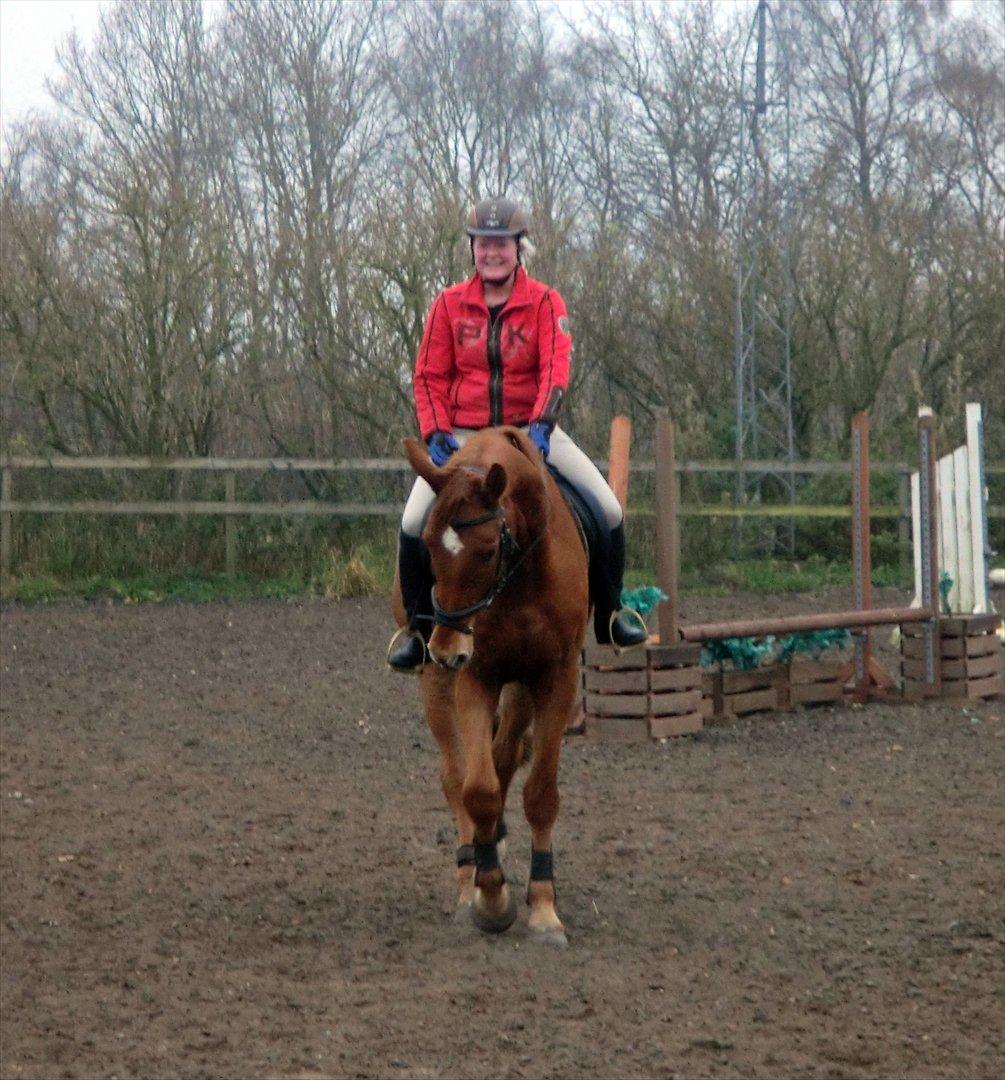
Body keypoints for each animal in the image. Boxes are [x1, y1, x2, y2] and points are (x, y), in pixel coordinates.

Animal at [390, 423, 591, 946]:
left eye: (485, 551)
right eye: (427, 547)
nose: (446, 649)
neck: (518, 577)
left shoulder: (555, 678)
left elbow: (539, 793)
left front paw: (543, 908)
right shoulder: (475, 676)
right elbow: (476, 789)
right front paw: (491, 898)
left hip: (518, 687)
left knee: (507, 754)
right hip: (437, 685)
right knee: (456, 775)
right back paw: (471, 876)